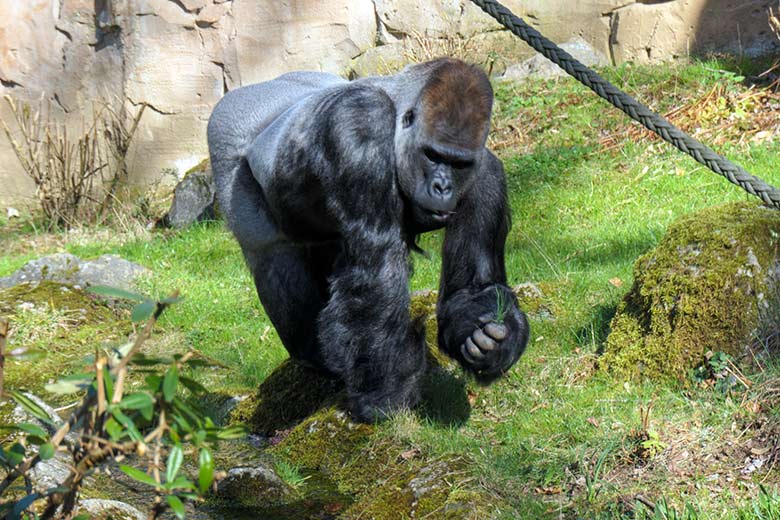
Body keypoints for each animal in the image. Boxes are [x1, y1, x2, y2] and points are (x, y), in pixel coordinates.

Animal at [207, 58, 528, 422]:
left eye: (459, 163)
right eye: (432, 155)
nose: (442, 188)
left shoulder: (485, 173)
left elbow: (471, 289)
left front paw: (485, 339)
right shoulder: (359, 129)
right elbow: (376, 273)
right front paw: (384, 395)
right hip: (227, 133)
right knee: (273, 257)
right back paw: (312, 355)